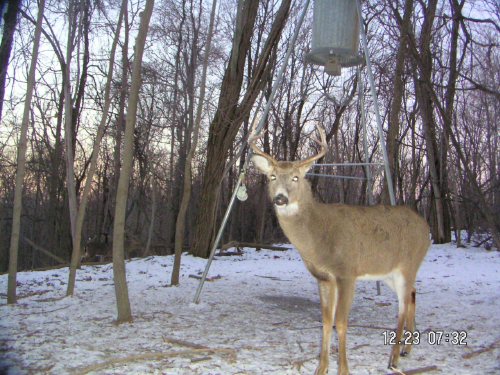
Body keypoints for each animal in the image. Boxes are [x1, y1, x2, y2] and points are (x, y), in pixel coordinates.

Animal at [250, 127, 430, 375]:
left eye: (296, 177)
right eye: (272, 177)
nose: (280, 198)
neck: (320, 238)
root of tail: (426, 228)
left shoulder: (347, 273)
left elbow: (342, 322)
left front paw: (343, 369)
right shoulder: (324, 278)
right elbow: (327, 320)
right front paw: (321, 368)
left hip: (409, 264)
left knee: (402, 306)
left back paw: (393, 359)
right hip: (389, 273)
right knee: (412, 294)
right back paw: (406, 349)